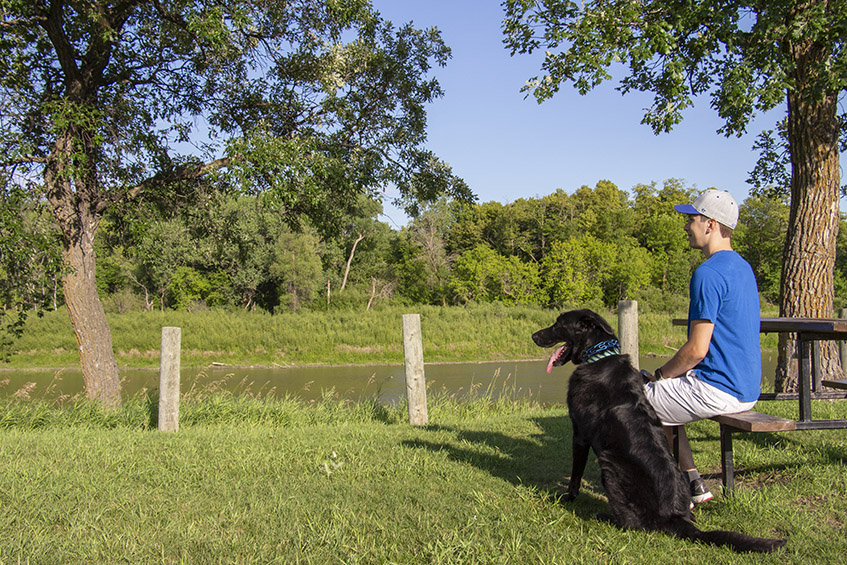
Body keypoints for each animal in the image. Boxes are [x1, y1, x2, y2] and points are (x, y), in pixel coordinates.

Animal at [532, 308, 784, 552]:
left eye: (558, 324)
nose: (534, 336)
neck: (599, 356)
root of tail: (675, 516)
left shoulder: (580, 435)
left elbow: (575, 475)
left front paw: (567, 498)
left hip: (610, 467)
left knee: (632, 525)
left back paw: (604, 516)